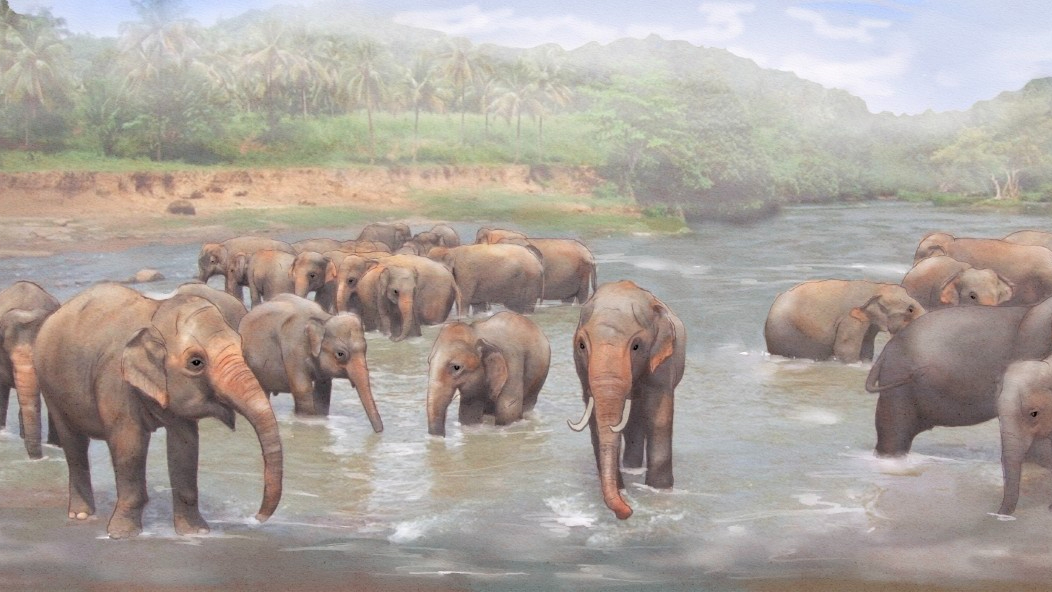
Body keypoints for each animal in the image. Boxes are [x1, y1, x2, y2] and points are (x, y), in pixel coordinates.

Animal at [34, 284, 283, 539]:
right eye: (196, 362)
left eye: (241, 347)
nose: (256, 517)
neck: (156, 316)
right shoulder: (115, 380)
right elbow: (129, 444)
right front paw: (122, 535)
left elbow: (185, 447)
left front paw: (196, 533)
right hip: (49, 385)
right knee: (74, 443)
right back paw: (81, 515)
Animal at [239, 294, 383, 429]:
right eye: (340, 354)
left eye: (366, 349)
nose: (379, 432)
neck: (324, 319)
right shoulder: (294, 350)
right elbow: (302, 389)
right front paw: (309, 421)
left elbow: (323, 391)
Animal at [567, 280, 685, 520]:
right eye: (581, 345)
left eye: (636, 346)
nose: (628, 511)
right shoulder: (582, 368)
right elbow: (594, 417)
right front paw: (622, 489)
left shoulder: (662, 360)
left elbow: (659, 415)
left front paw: (660, 491)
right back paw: (631, 469)